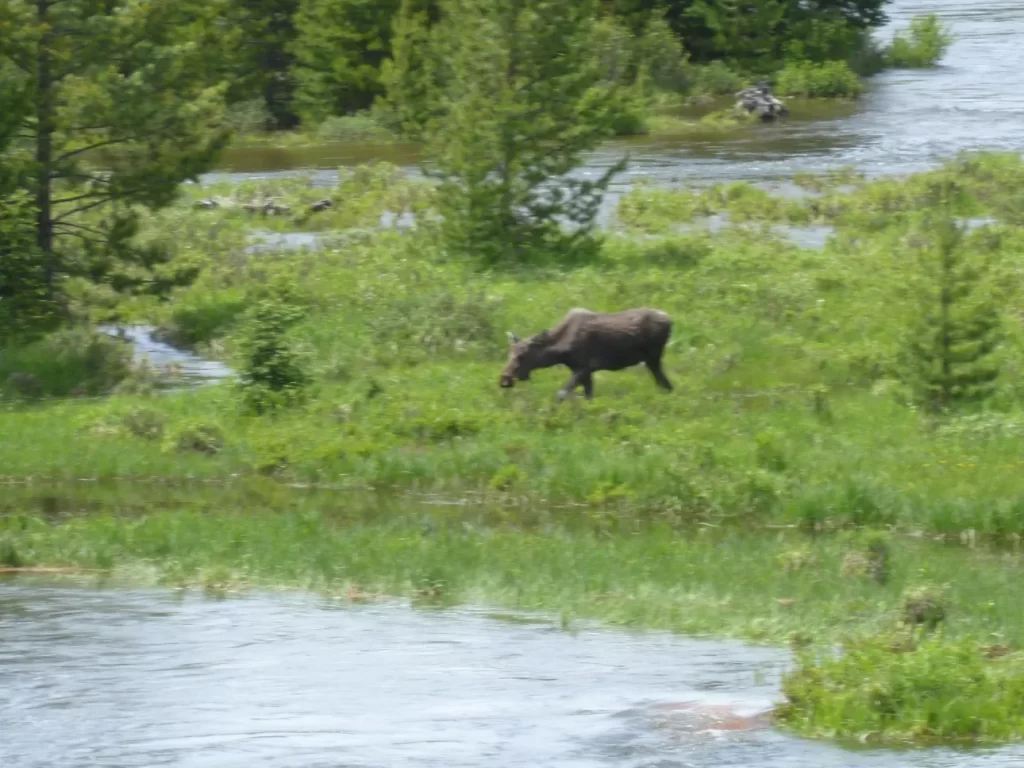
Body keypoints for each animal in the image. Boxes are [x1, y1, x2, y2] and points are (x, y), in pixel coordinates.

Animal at [497, 307, 671, 403]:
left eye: (523, 355)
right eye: (509, 353)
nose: (504, 379)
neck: (560, 353)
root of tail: (670, 320)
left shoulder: (584, 367)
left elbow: (561, 394)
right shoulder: (585, 372)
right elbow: (588, 397)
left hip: (653, 358)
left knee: (665, 384)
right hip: (652, 360)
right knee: (666, 385)